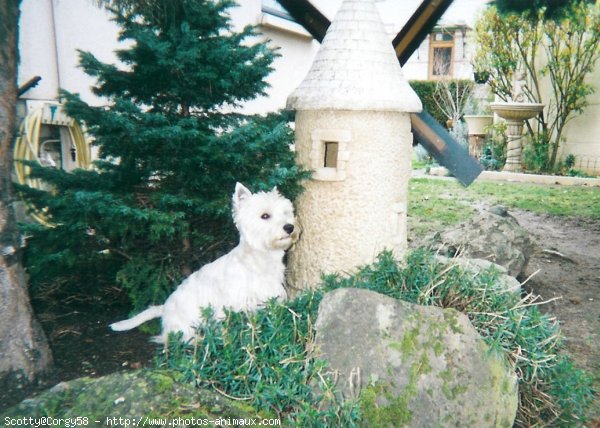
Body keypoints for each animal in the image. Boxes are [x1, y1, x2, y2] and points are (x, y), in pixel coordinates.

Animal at [110, 182, 298, 342]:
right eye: (265, 216)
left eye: (286, 213)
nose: (290, 227)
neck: (259, 259)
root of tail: (164, 308)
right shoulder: (232, 305)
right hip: (184, 325)